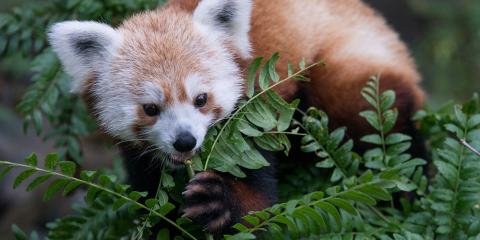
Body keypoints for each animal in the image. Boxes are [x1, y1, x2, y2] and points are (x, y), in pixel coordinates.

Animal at [47, 0, 424, 234]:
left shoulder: (257, 118)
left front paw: (219, 203)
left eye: (201, 99)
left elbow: (256, 205)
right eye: (151, 109)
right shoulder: (141, 162)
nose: (185, 141)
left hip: (346, 66)